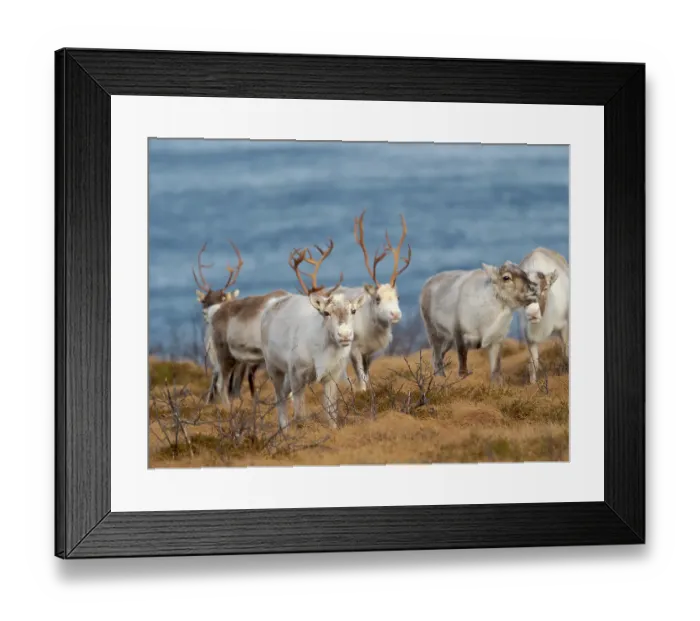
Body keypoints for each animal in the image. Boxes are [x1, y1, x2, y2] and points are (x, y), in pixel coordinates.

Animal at [260, 239, 367, 432]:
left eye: (353, 310)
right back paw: (284, 430)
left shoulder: (332, 376)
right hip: (273, 367)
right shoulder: (297, 374)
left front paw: (333, 429)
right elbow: (300, 414)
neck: (321, 353)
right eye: (326, 312)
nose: (345, 335)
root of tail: (270, 307)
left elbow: (331, 413)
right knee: (279, 398)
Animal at [336, 210, 412, 392]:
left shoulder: (370, 352)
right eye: (377, 298)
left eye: (398, 297)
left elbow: (367, 374)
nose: (396, 314)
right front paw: (361, 390)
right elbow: (360, 375)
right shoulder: (354, 349)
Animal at [518, 247, 570, 384]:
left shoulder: (564, 326)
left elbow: (567, 352)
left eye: (545, 288)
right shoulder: (528, 334)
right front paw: (533, 383)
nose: (532, 314)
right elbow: (534, 362)